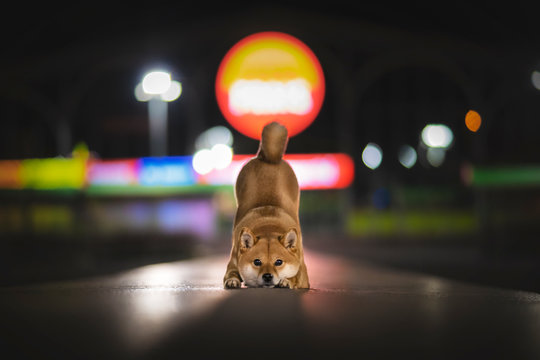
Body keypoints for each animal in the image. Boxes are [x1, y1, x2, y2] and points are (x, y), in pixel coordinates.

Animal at [223, 121, 308, 290]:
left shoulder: (303, 274)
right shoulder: (233, 261)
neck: (268, 228)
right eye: (257, 262)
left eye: (278, 262)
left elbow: (295, 277)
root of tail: (268, 158)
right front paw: (233, 281)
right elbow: (231, 274)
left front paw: (286, 280)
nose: (267, 276)